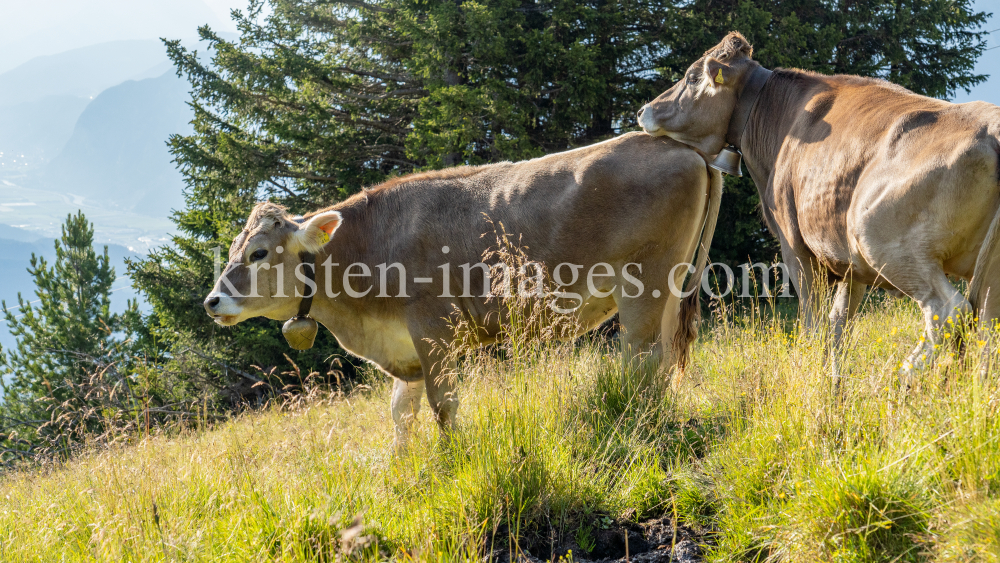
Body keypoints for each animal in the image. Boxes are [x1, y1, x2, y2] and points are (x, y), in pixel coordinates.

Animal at [203, 133, 720, 450]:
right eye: (232, 250)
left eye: (259, 253)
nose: (212, 302)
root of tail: (678, 147)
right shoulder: (404, 345)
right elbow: (400, 413)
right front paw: (400, 467)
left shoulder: (434, 330)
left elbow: (443, 404)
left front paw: (453, 459)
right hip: (671, 288)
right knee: (667, 358)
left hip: (644, 285)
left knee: (642, 357)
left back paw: (632, 419)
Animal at [636, 32, 1000, 384]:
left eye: (691, 77)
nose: (643, 110)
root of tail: (991, 127)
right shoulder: (849, 262)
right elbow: (838, 324)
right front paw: (833, 383)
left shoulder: (797, 248)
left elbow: (814, 323)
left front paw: (814, 378)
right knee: (987, 327)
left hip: (889, 245)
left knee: (949, 309)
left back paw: (905, 376)